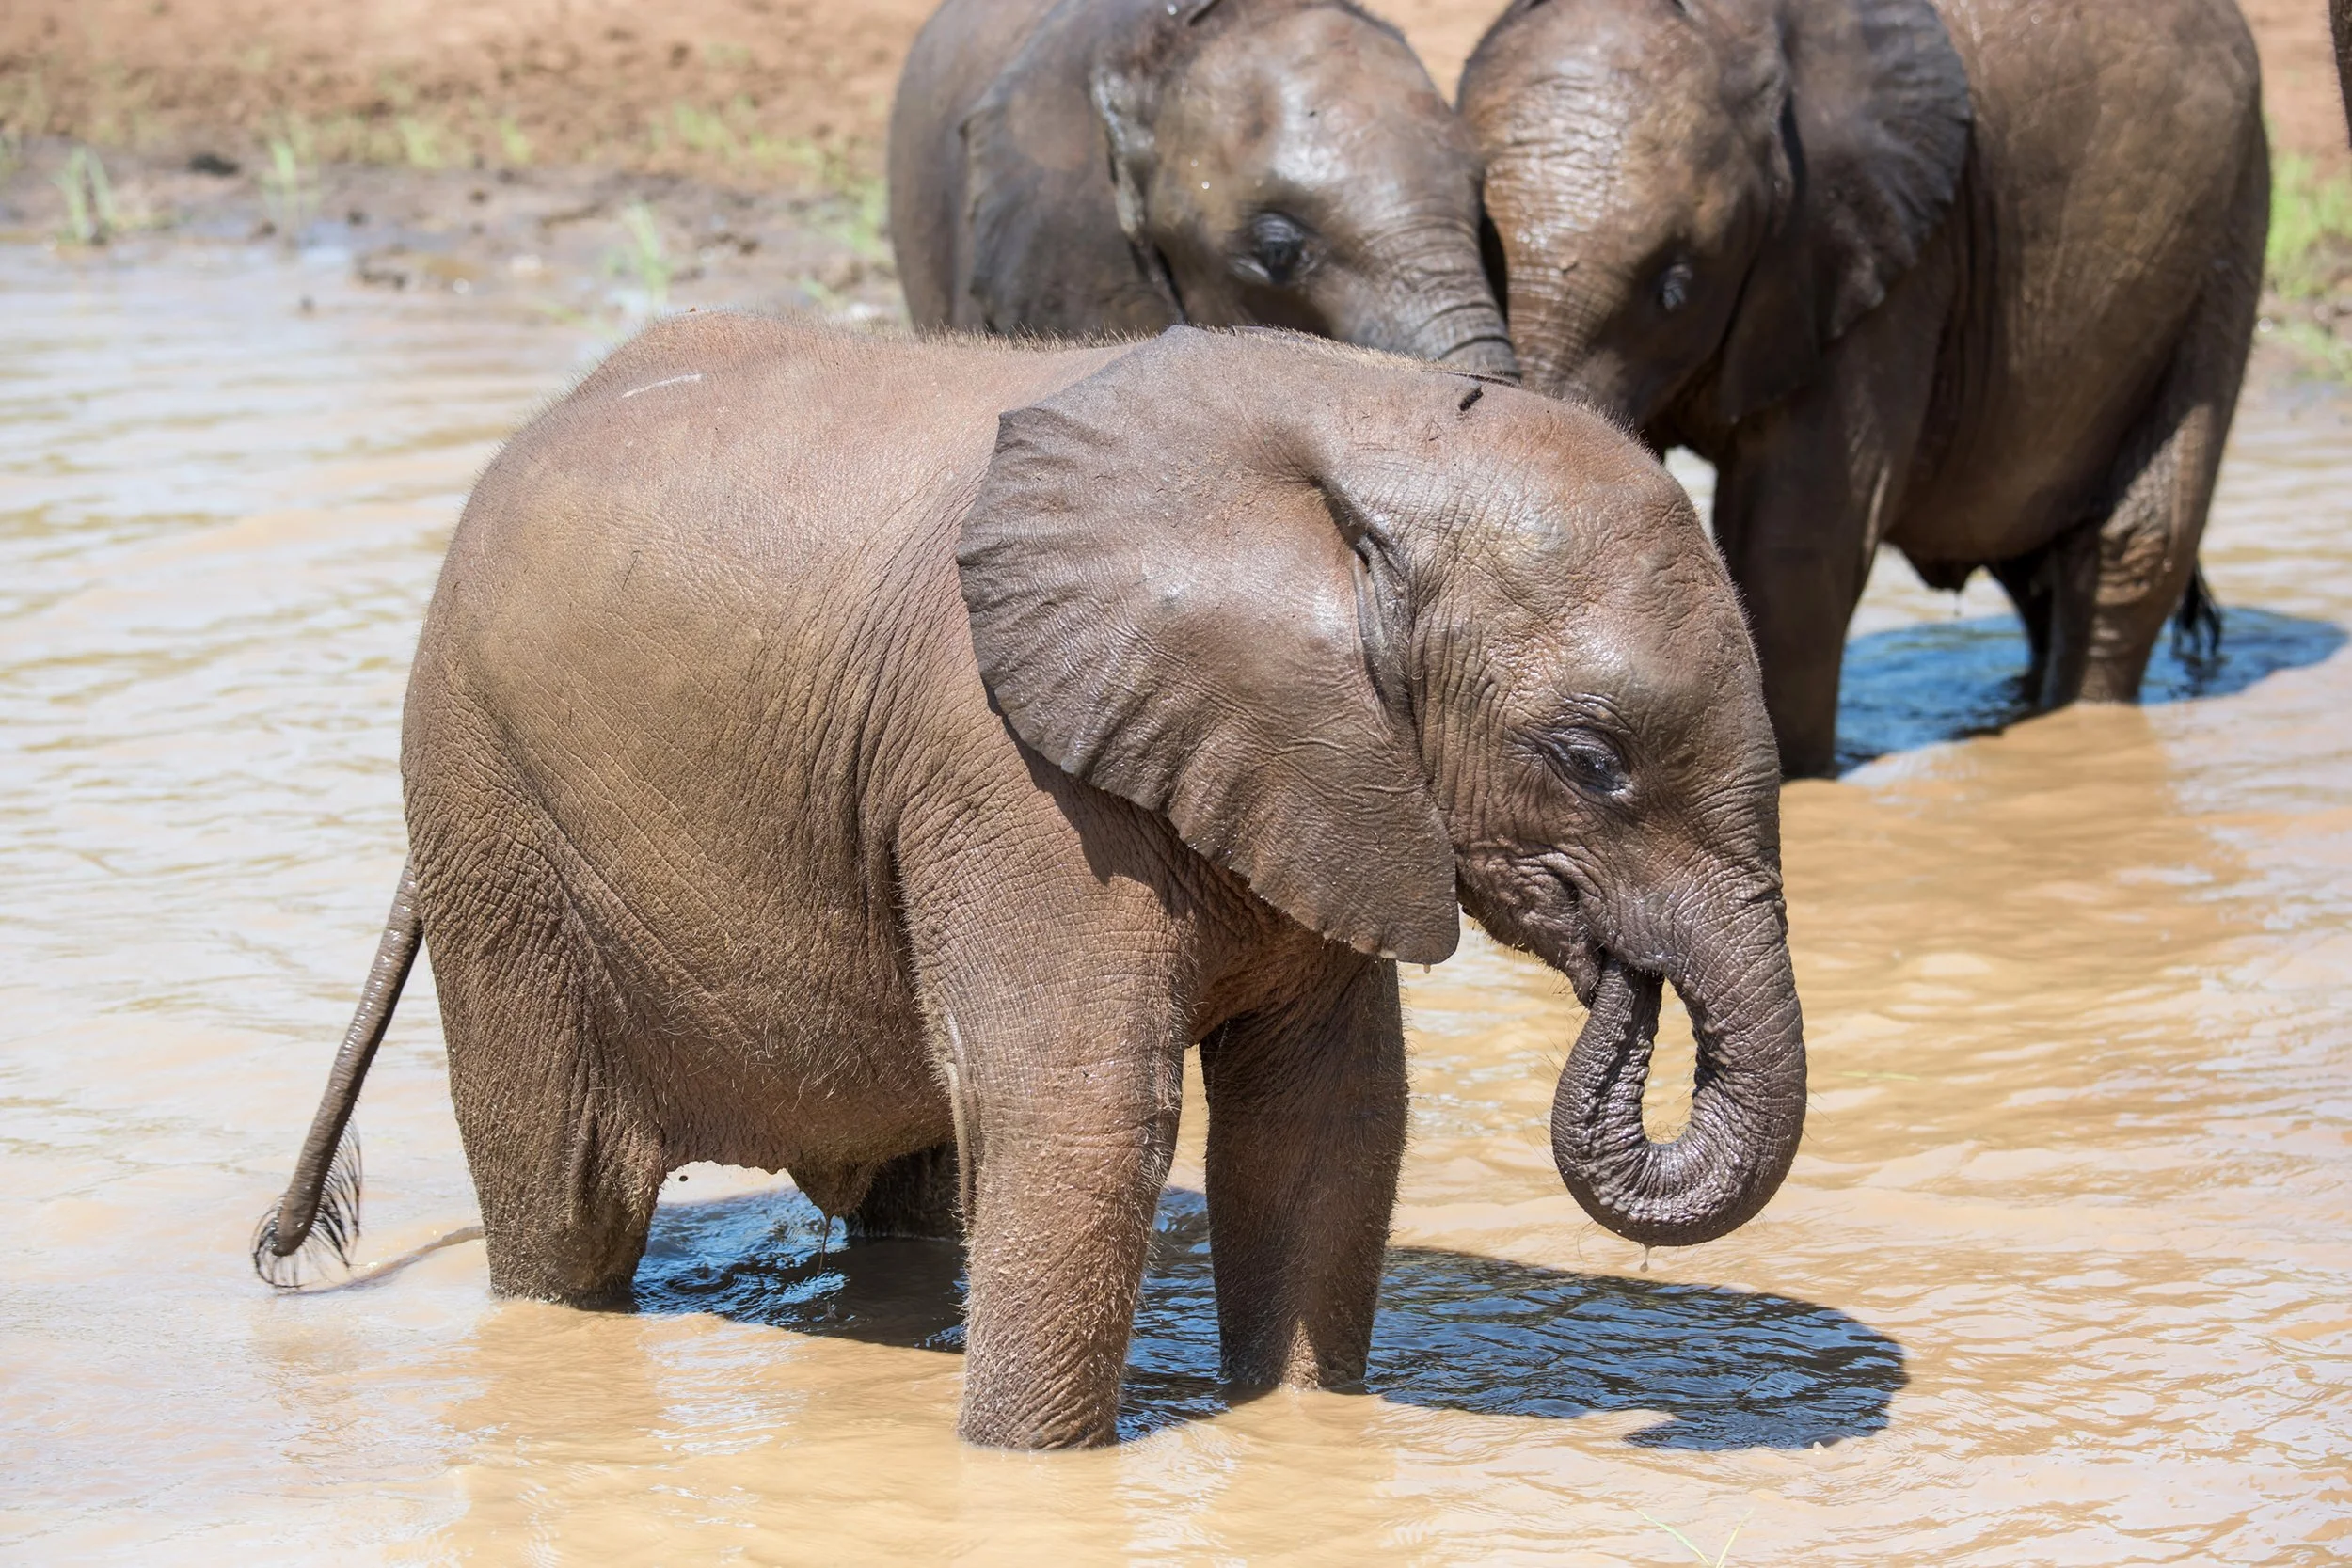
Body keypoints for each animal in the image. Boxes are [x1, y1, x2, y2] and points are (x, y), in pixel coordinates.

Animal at [252, 315, 1805, 1449]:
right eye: (1590, 759)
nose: (1618, 977)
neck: (1368, 415)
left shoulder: (1327, 778)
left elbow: (1327, 1117)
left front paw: (1304, 1436)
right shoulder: (1013, 770)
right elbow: (1081, 1115)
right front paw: (1025, 1473)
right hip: (491, 812)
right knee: (568, 1207)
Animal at [1460, 0, 2267, 776]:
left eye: (1674, 289)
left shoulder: (1879, 260)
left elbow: (1793, 539)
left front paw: (1800, 780)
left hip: (2217, 248)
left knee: (2132, 544)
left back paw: (2079, 721)